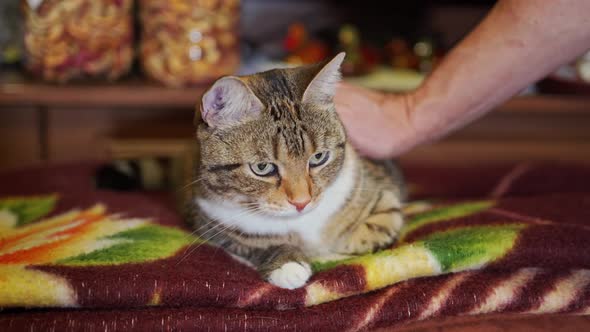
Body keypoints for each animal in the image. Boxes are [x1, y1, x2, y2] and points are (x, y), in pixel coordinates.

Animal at [190, 53, 408, 290]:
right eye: (262, 167)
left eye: (319, 157)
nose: (302, 202)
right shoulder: (211, 221)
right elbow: (254, 245)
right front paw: (287, 264)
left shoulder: (376, 186)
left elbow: (384, 219)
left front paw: (343, 243)